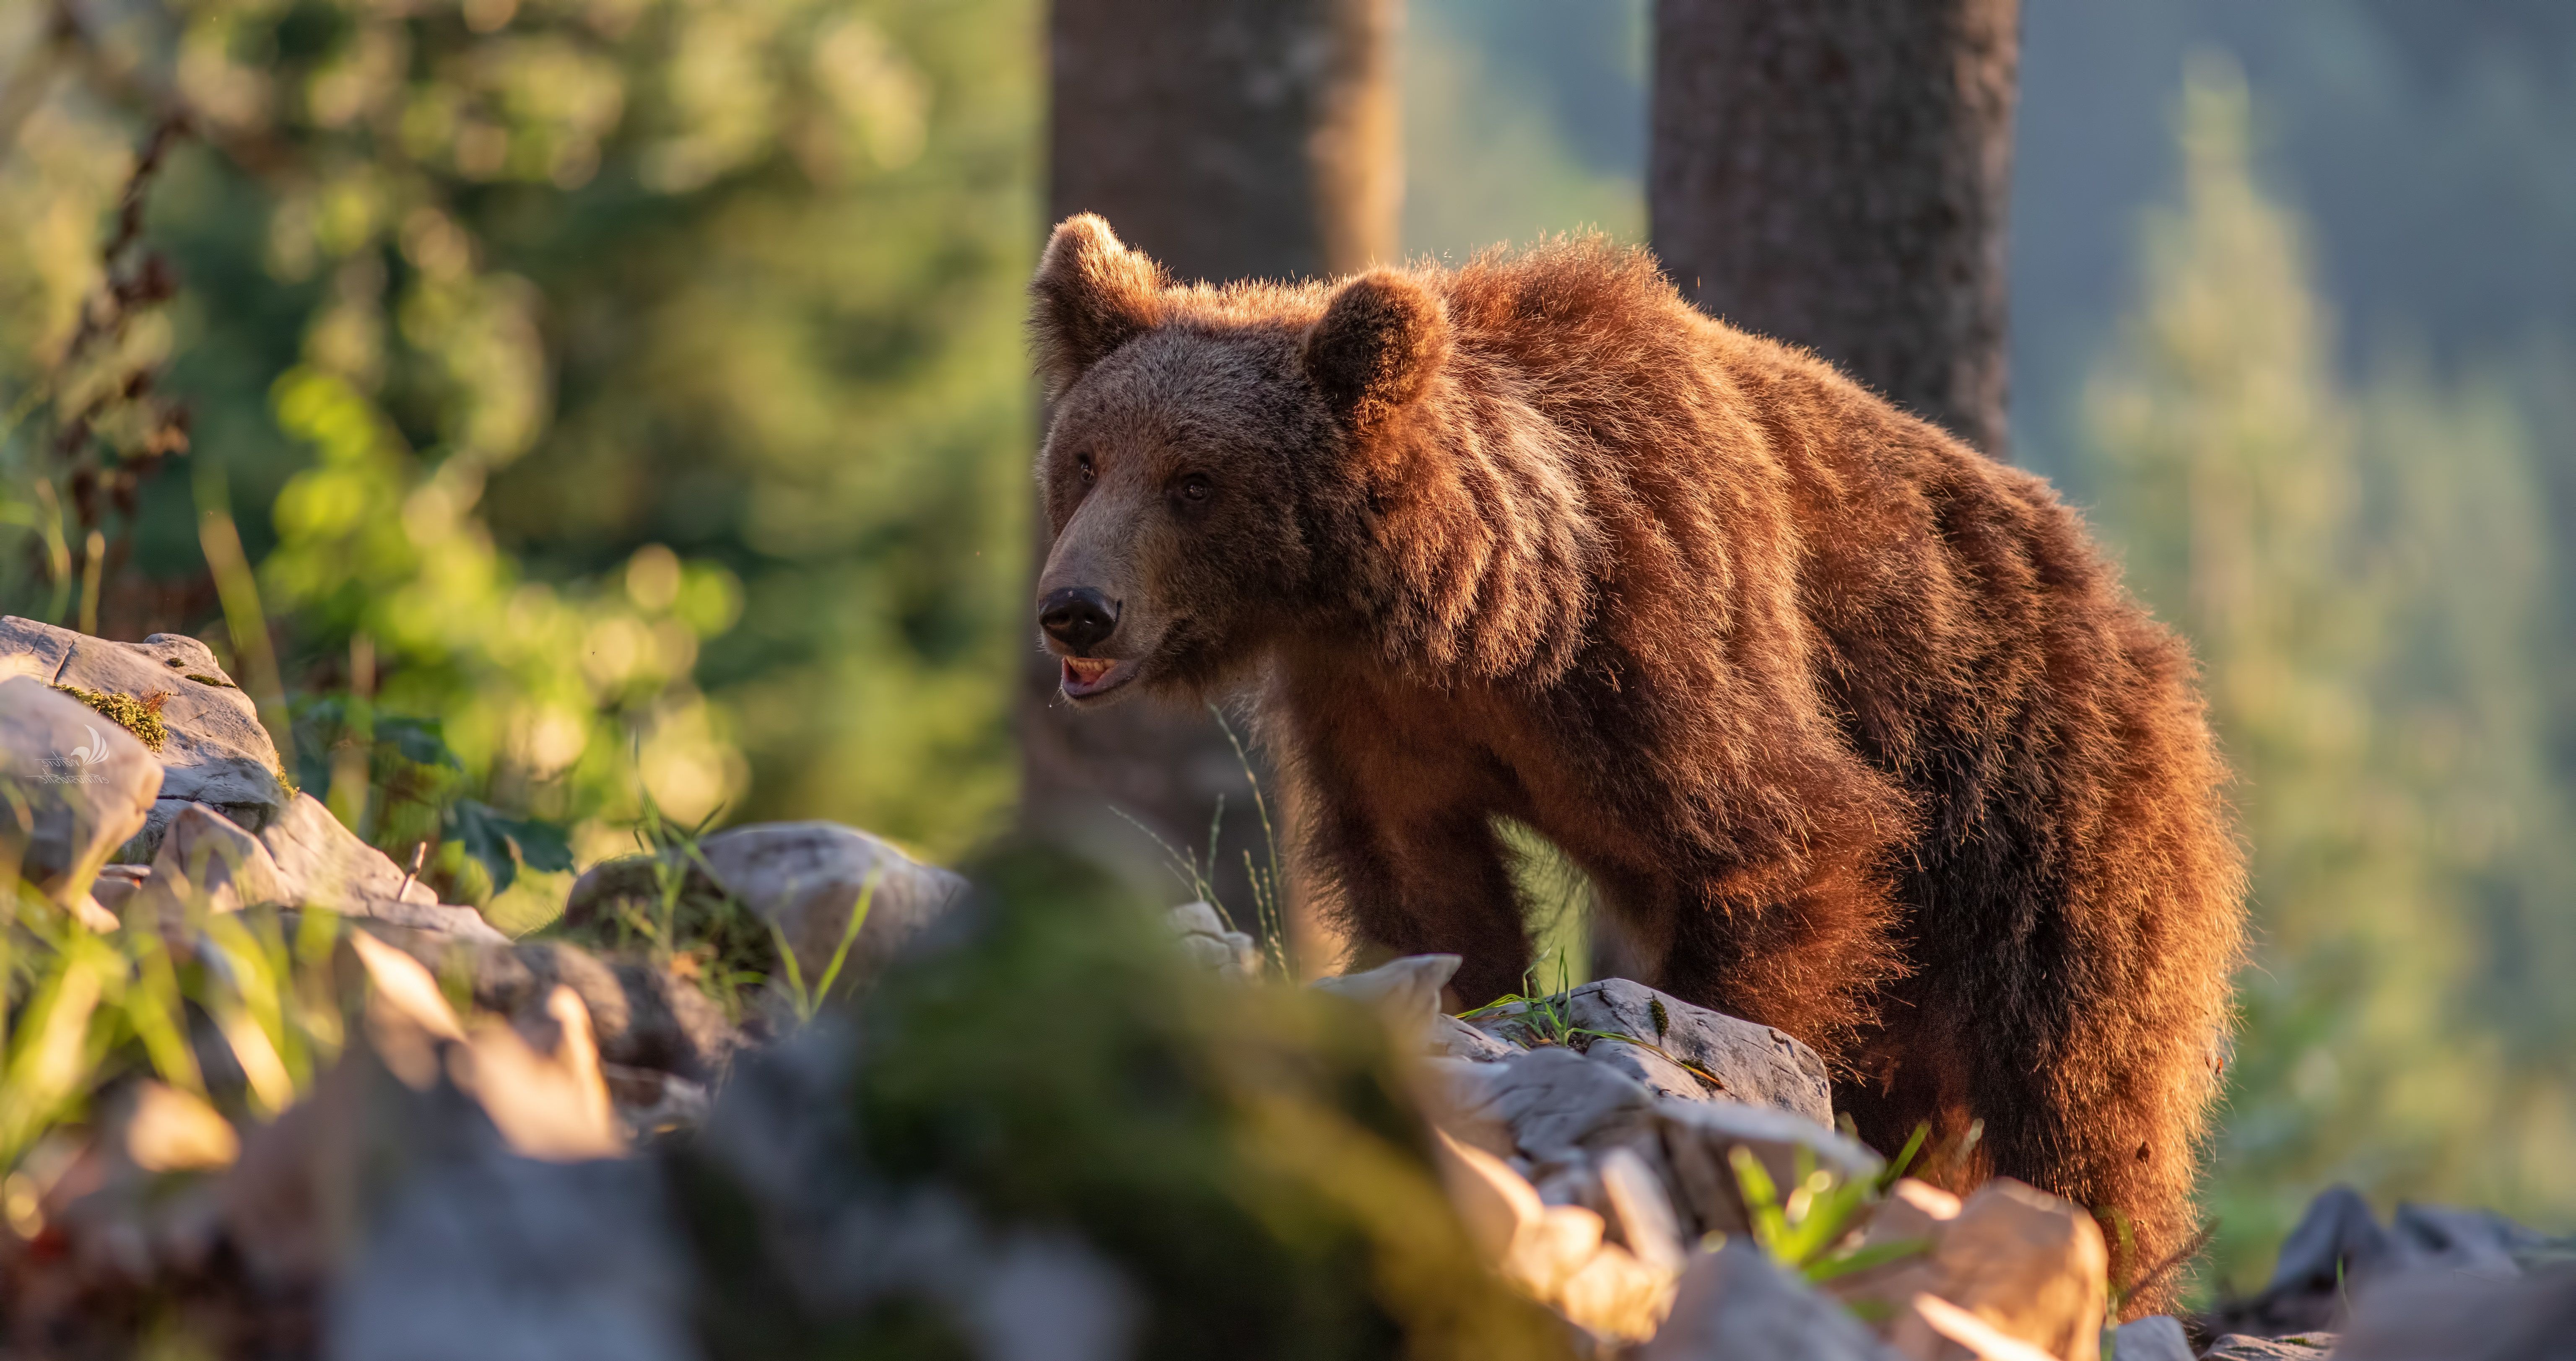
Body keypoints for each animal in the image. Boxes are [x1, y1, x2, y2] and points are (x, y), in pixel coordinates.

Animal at [1020, 210, 2236, 1299]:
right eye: (1083, 457)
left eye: (1194, 480)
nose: (1075, 608)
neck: (1481, 611)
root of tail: (2145, 633)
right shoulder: (1377, 713)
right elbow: (1427, 888)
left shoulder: (1666, 643)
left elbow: (1784, 852)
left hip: (2045, 824)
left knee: (2082, 1090)